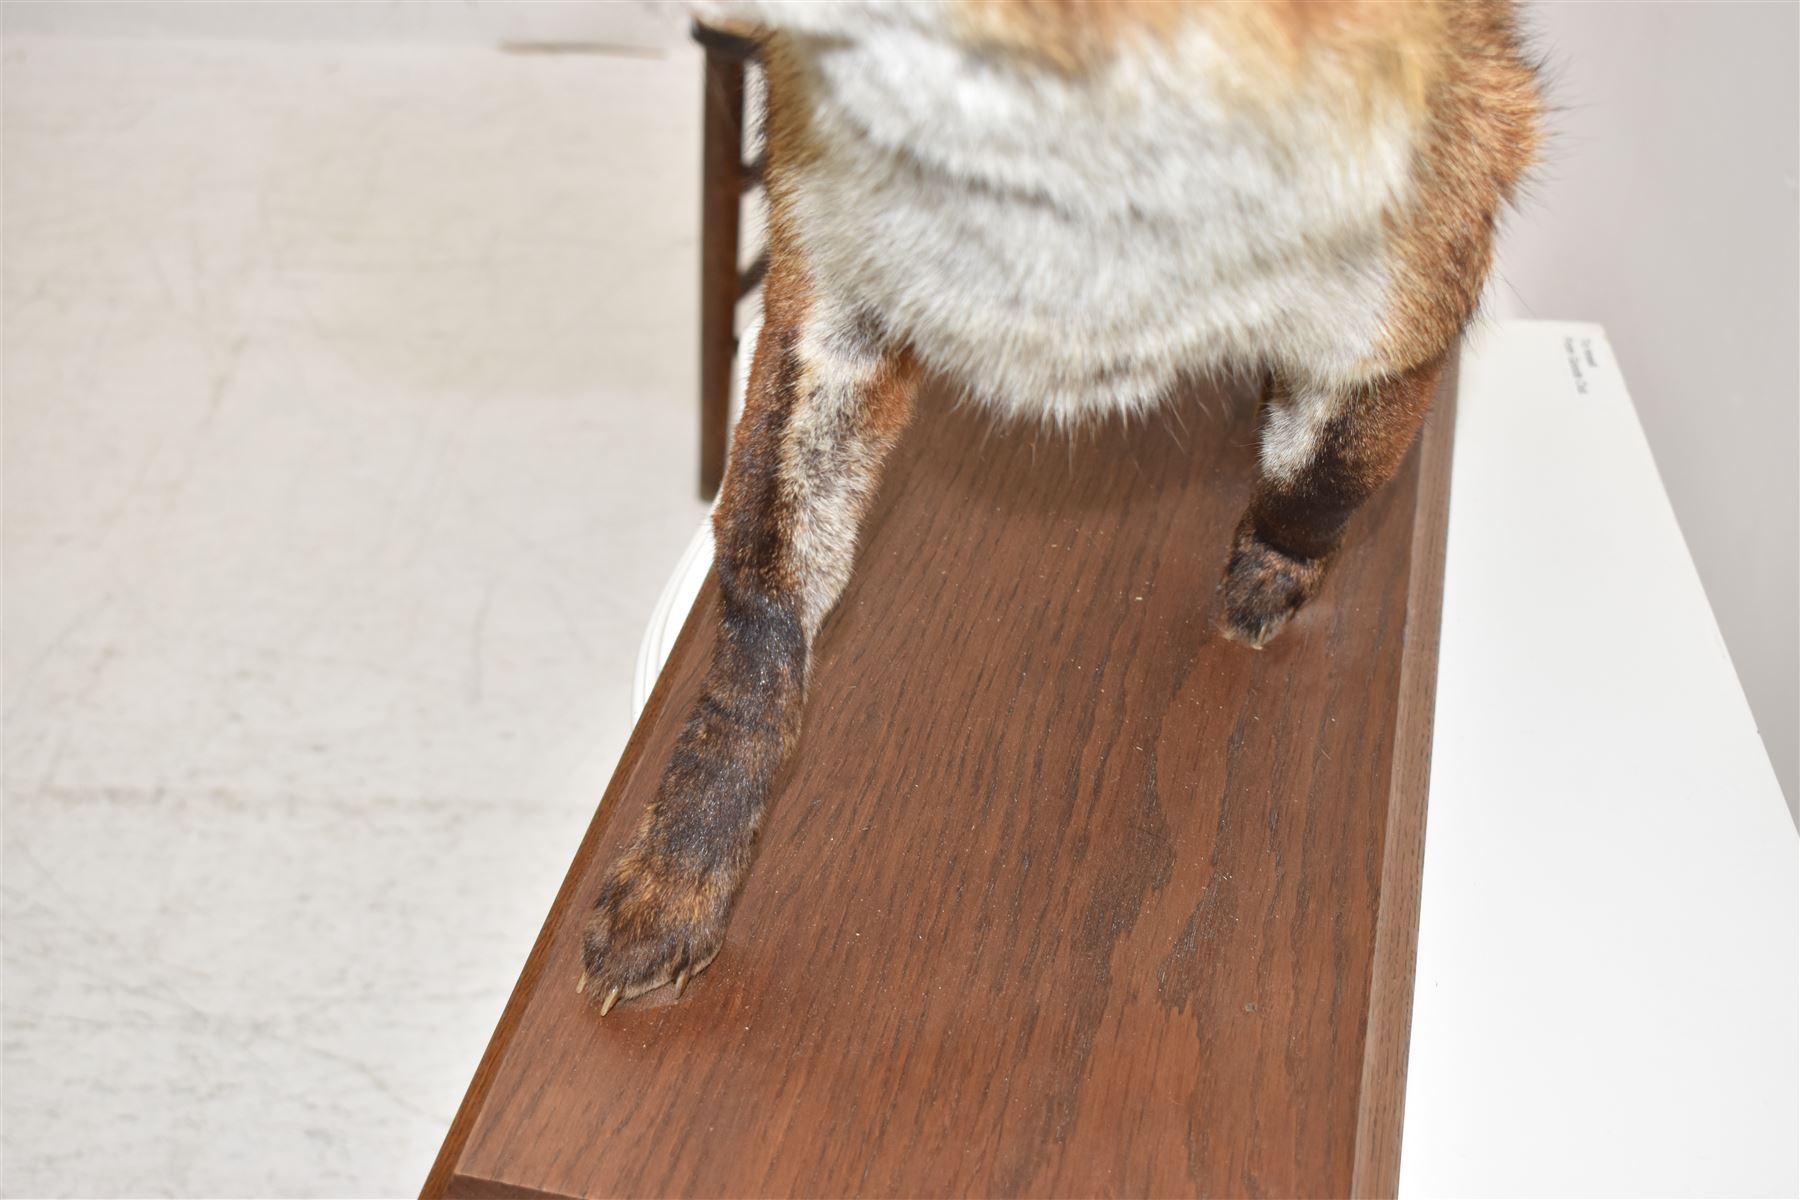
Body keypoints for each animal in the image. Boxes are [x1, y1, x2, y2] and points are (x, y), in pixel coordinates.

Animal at [579, 0, 1543, 1013]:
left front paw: (1273, 572)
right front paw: (685, 866)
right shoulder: (841, 263)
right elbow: (761, 600)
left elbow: (1323, 476)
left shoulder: (1423, 247)